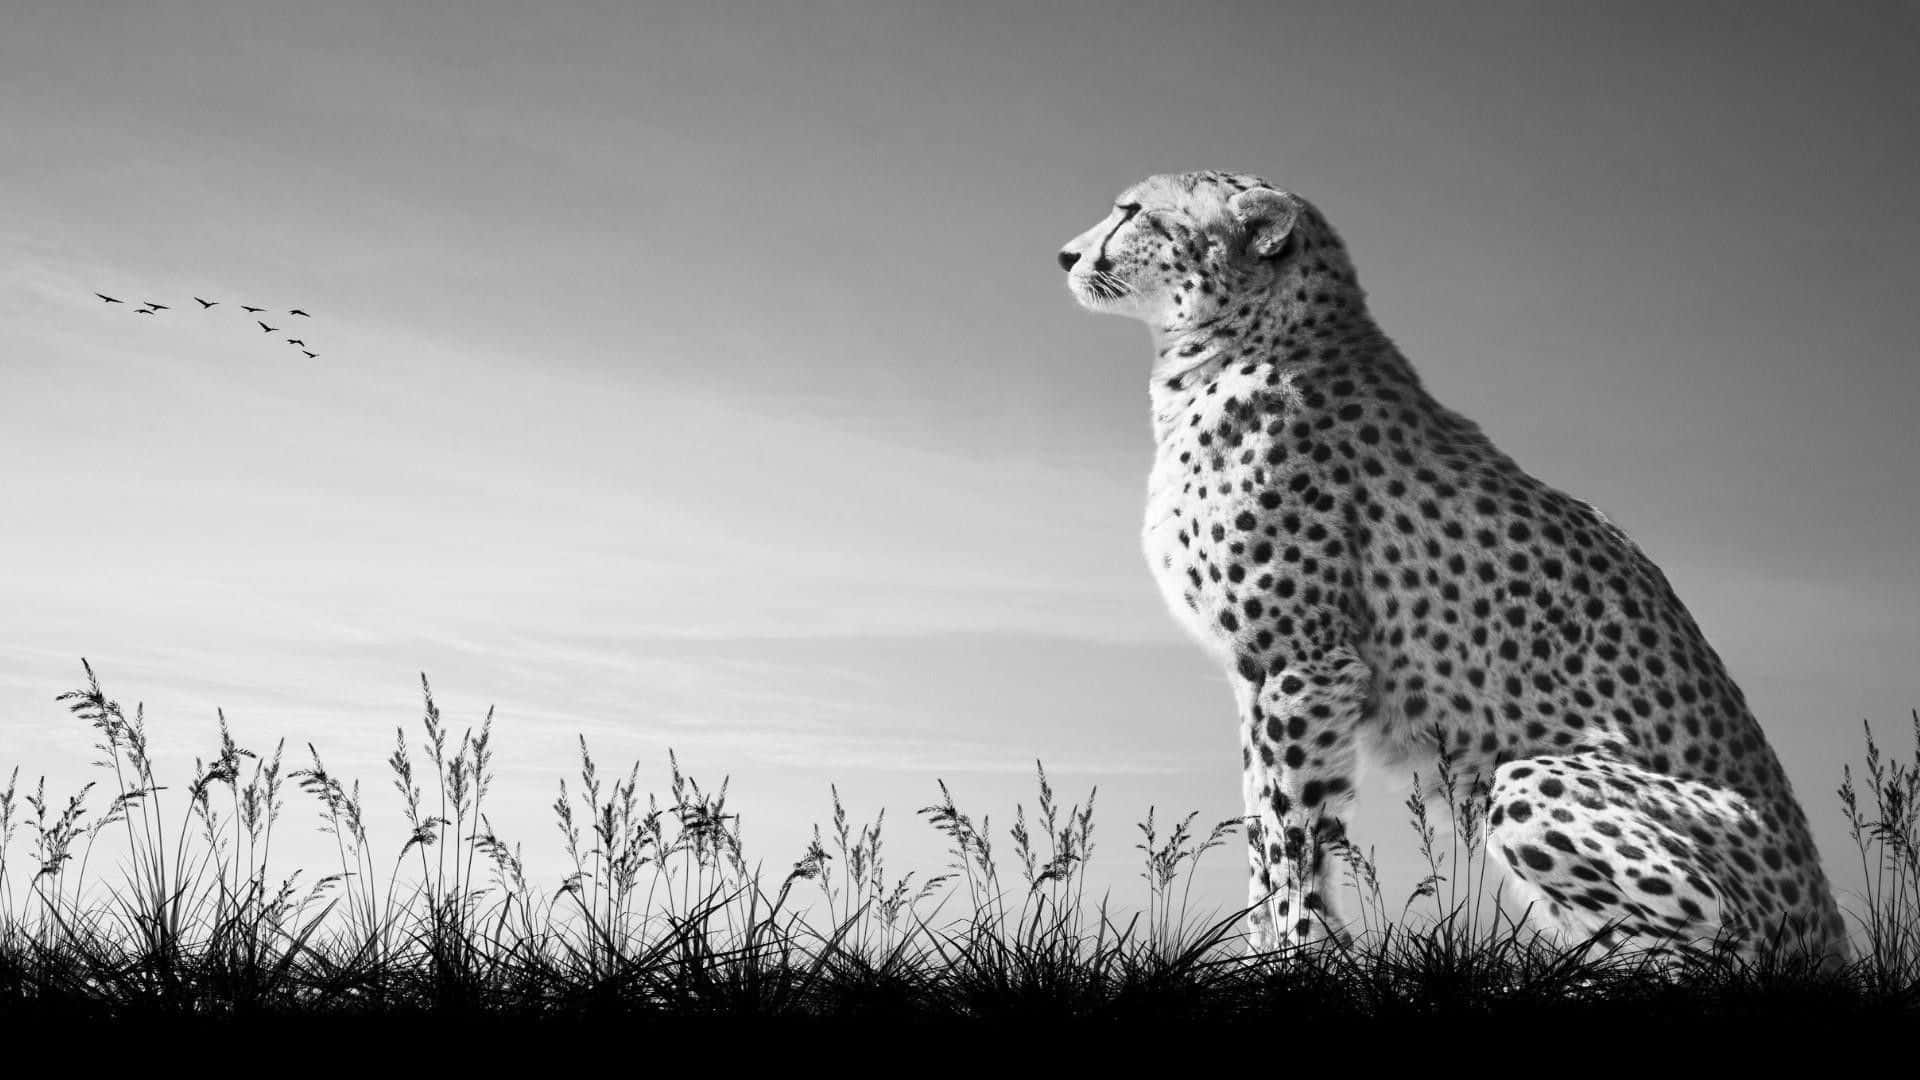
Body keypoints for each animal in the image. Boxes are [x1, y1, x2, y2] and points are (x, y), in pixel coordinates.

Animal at [1059, 170, 1850, 968]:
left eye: (1132, 212)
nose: (1065, 254)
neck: (1229, 342)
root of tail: (1825, 918)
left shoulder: (1300, 663)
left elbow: (1289, 833)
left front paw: (1292, 957)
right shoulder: (1266, 675)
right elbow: (1266, 828)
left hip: (1535, 785)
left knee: (1708, 942)